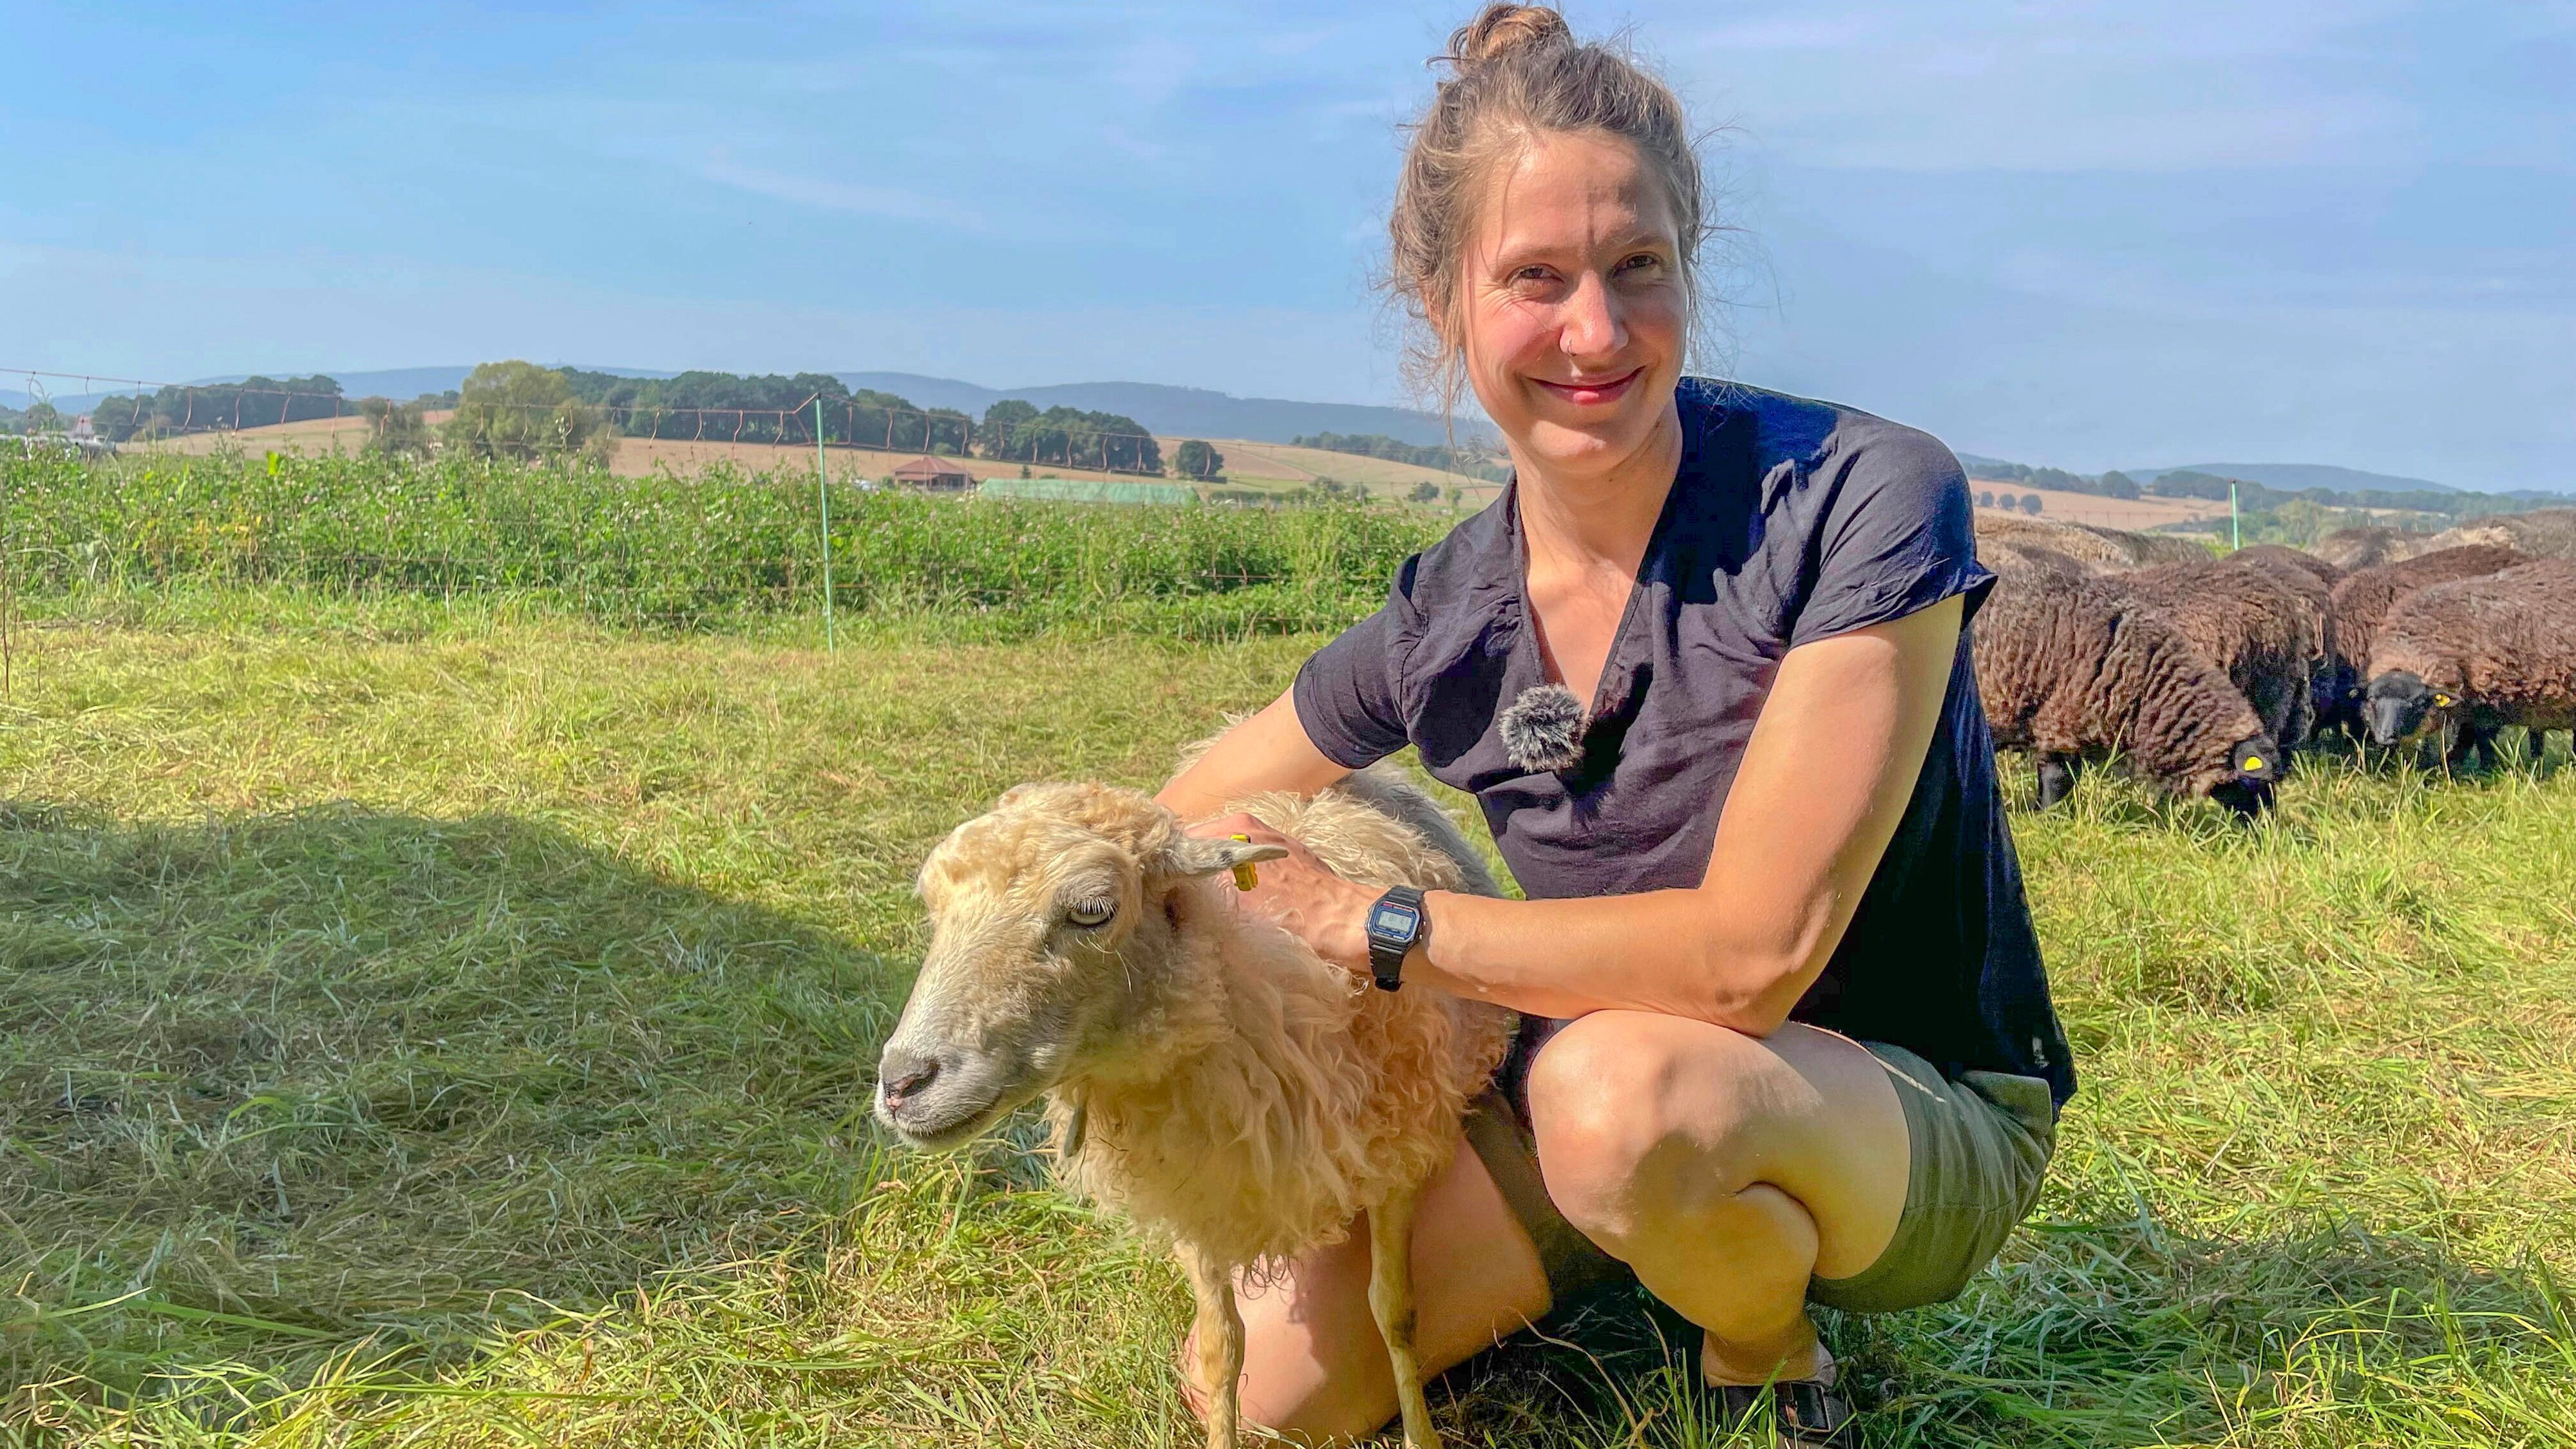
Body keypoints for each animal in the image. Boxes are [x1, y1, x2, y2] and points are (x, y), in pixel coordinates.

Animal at [876, 768, 1515, 1443]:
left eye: (1093, 911)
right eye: (933, 906)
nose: (901, 1083)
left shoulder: (1400, 1161)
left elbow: (1396, 1312)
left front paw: (1423, 1435)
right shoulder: (1196, 1191)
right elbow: (1221, 1348)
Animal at [2360, 554, 2576, 768]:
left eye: (2417, 704)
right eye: (2372, 700)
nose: (2387, 737)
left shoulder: (2488, 698)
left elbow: (2482, 738)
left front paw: (2482, 768)